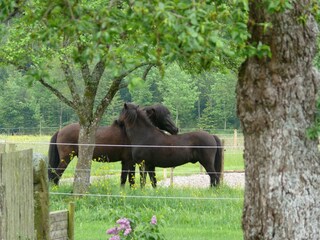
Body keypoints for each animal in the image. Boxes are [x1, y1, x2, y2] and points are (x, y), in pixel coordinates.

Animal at [47, 103, 179, 186]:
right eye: (164, 115)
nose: (176, 129)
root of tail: (60, 131)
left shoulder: (127, 162)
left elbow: (125, 179)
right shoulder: (130, 161)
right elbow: (129, 179)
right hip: (66, 159)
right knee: (56, 176)